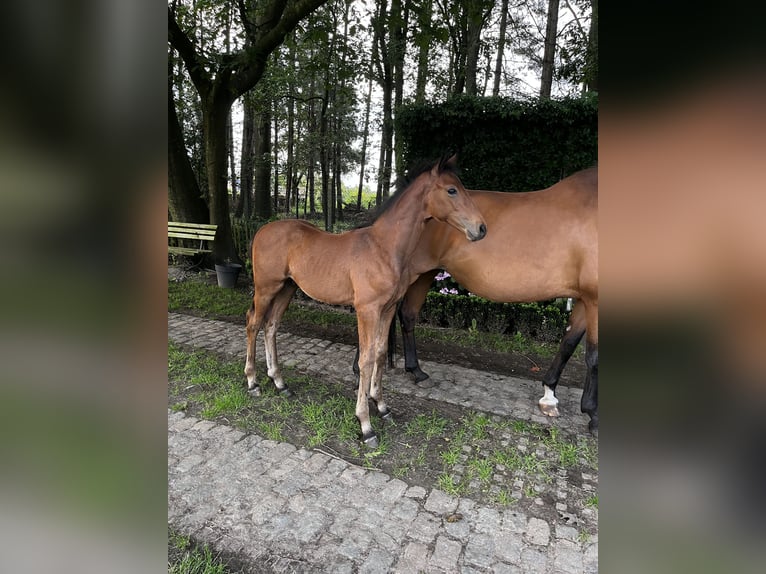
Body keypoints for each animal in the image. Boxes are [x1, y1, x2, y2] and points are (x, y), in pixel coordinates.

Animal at [246, 156, 486, 450]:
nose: (481, 228)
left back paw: (279, 382)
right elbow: (366, 359)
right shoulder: (367, 310)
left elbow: (381, 353)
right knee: (253, 323)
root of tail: (262, 230)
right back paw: (253, 382)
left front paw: (381, 406)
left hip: (286, 289)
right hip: (266, 288)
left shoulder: (388, 309)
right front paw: (365, 424)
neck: (384, 248)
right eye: (452, 190)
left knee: (271, 327)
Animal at [390, 171, 600, 436]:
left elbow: (568, 345)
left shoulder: (584, 299)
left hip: (425, 275)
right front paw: (594, 416)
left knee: (406, 315)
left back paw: (416, 372)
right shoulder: (595, 300)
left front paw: (549, 396)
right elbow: (594, 357)